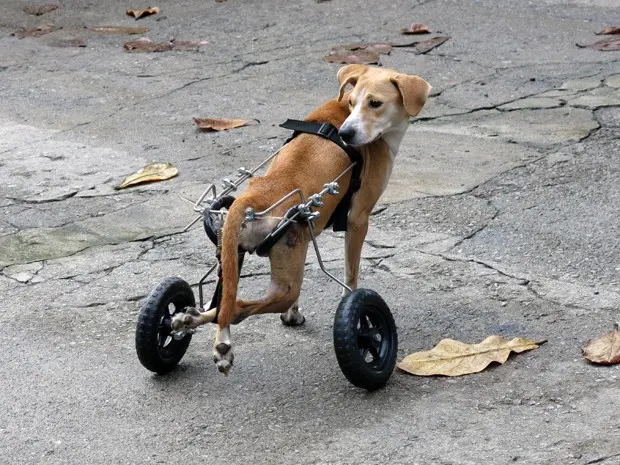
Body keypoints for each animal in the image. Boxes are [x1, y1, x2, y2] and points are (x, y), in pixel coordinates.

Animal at [170, 64, 432, 374]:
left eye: (375, 103)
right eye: (353, 102)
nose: (347, 133)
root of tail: (257, 194)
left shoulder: (307, 238)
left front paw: (292, 314)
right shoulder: (358, 220)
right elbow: (351, 278)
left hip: (235, 253)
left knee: (225, 301)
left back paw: (189, 319)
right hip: (284, 277)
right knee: (235, 308)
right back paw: (219, 341)